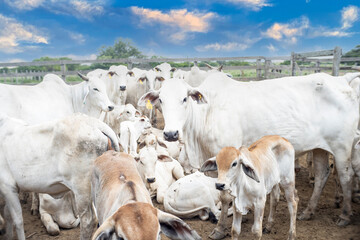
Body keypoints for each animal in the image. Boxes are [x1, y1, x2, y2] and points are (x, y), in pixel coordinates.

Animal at [139, 71, 360, 238]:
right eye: (161, 100)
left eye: (184, 99)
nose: (170, 133)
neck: (207, 113)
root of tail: (342, 80)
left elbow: (225, 197)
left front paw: (220, 229)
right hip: (320, 148)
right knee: (322, 175)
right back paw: (308, 211)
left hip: (341, 147)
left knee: (346, 176)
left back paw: (345, 215)